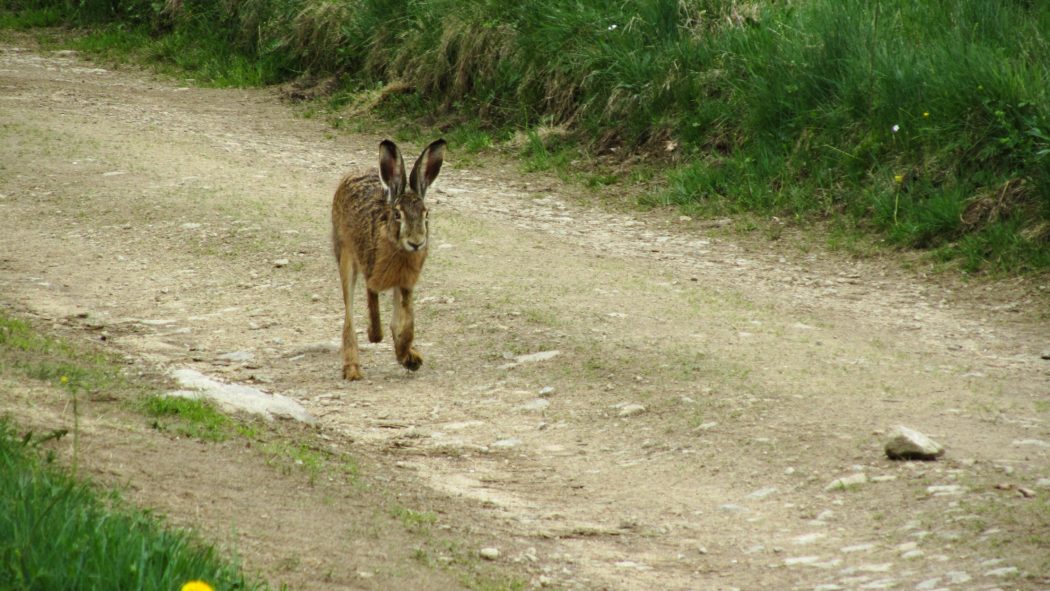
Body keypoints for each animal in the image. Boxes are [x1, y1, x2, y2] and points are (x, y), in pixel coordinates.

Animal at [331, 139, 446, 381]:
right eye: (397, 215)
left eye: (427, 214)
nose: (416, 243)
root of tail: (353, 174)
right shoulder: (371, 272)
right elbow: (373, 306)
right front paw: (374, 335)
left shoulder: (406, 283)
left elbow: (408, 324)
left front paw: (407, 355)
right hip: (345, 255)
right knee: (349, 315)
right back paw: (352, 368)